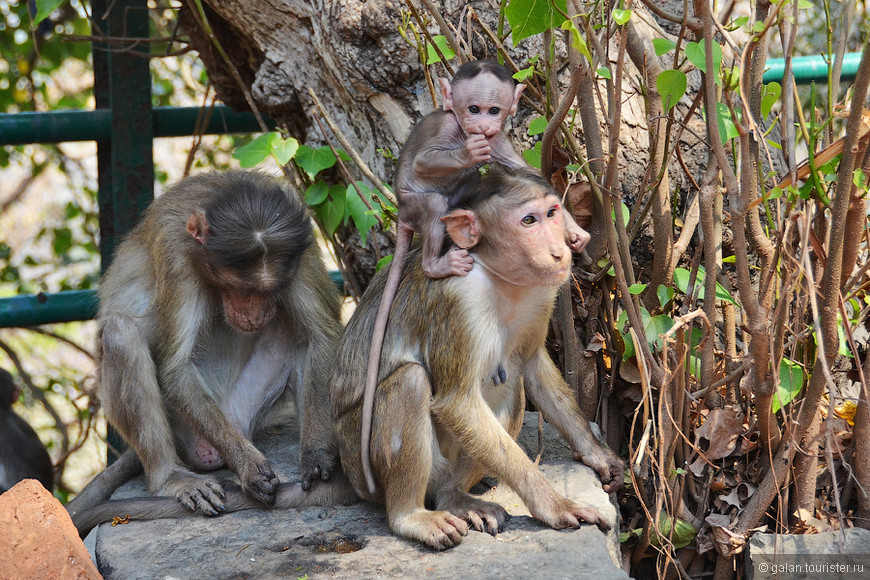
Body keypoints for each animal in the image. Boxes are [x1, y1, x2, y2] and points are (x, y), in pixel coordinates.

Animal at [330, 165, 624, 552]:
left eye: (551, 213)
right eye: (528, 221)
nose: (560, 251)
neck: (499, 277)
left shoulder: (542, 294)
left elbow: (533, 365)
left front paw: (595, 452)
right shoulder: (457, 298)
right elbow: (457, 402)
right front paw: (555, 504)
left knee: (510, 382)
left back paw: (454, 496)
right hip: (362, 465)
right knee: (411, 380)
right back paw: (411, 516)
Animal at [362, 59, 592, 494]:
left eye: (493, 110)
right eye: (472, 109)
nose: (481, 126)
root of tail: (401, 216)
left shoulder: (500, 138)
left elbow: (525, 170)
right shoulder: (448, 130)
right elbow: (428, 160)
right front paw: (470, 152)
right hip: (415, 205)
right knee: (436, 203)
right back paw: (437, 262)